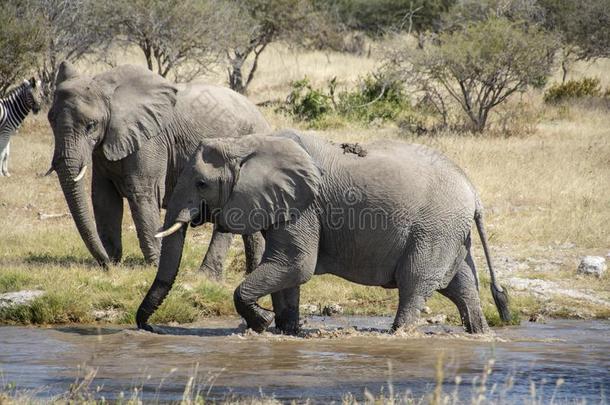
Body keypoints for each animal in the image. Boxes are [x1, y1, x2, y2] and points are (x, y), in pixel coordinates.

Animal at [45, 60, 268, 274]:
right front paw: (113, 260)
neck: (110, 91)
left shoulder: (151, 140)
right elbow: (104, 197)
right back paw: (251, 271)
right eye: (50, 120)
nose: (106, 265)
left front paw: (155, 264)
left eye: (91, 125)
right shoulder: (105, 146)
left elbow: (142, 192)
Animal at [139, 130, 508, 334]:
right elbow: (287, 271)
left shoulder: (304, 205)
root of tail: (473, 192)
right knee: (462, 285)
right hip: (449, 232)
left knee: (415, 284)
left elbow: (295, 264)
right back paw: (480, 334)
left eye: (202, 184)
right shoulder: (285, 204)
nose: (147, 327)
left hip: (434, 229)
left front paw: (261, 323)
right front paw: (285, 330)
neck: (246, 143)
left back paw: (397, 336)